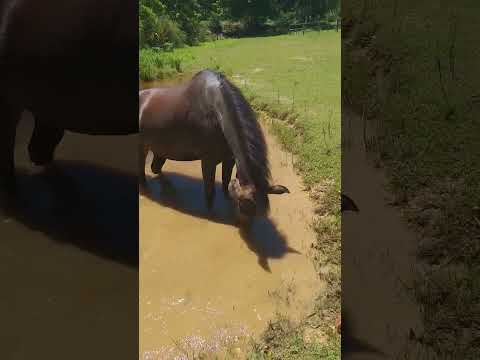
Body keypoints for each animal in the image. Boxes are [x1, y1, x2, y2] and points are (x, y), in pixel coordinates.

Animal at [139, 69, 288, 218]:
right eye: (245, 206)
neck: (217, 113)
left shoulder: (230, 159)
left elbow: (225, 182)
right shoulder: (208, 161)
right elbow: (210, 193)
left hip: (159, 150)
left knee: (155, 168)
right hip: (141, 148)